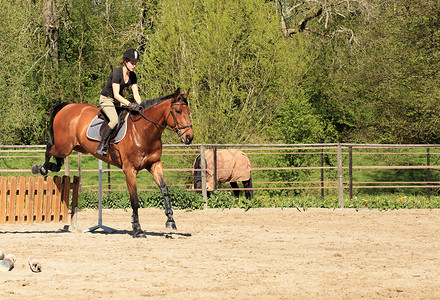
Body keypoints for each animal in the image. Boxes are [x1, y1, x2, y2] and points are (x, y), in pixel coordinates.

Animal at [31, 88, 193, 238]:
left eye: (188, 111)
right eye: (178, 111)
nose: (189, 137)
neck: (143, 131)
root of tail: (68, 106)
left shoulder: (155, 164)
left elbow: (164, 190)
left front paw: (170, 221)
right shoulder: (130, 170)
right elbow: (134, 199)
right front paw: (138, 229)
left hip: (76, 147)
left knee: (56, 158)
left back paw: (50, 167)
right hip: (64, 147)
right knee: (49, 148)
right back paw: (40, 169)